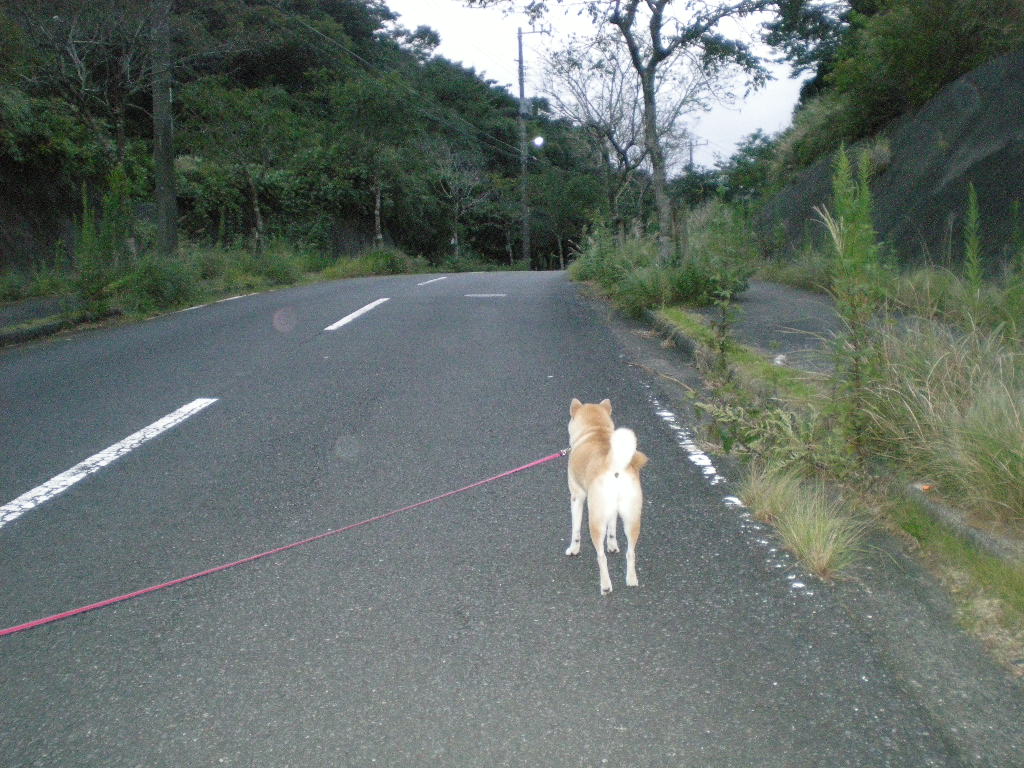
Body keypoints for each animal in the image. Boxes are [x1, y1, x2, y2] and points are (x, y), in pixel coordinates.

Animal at [569, 399, 647, 598]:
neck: (595, 430)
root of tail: (615, 464)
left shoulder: (577, 496)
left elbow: (575, 530)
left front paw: (573, 549)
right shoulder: (611, 510)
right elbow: (613, 528)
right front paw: (612, 544)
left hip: (595, 520)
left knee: (601, 556)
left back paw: (605, 586)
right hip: (632, 517)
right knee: (630, 552)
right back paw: (631, 579)